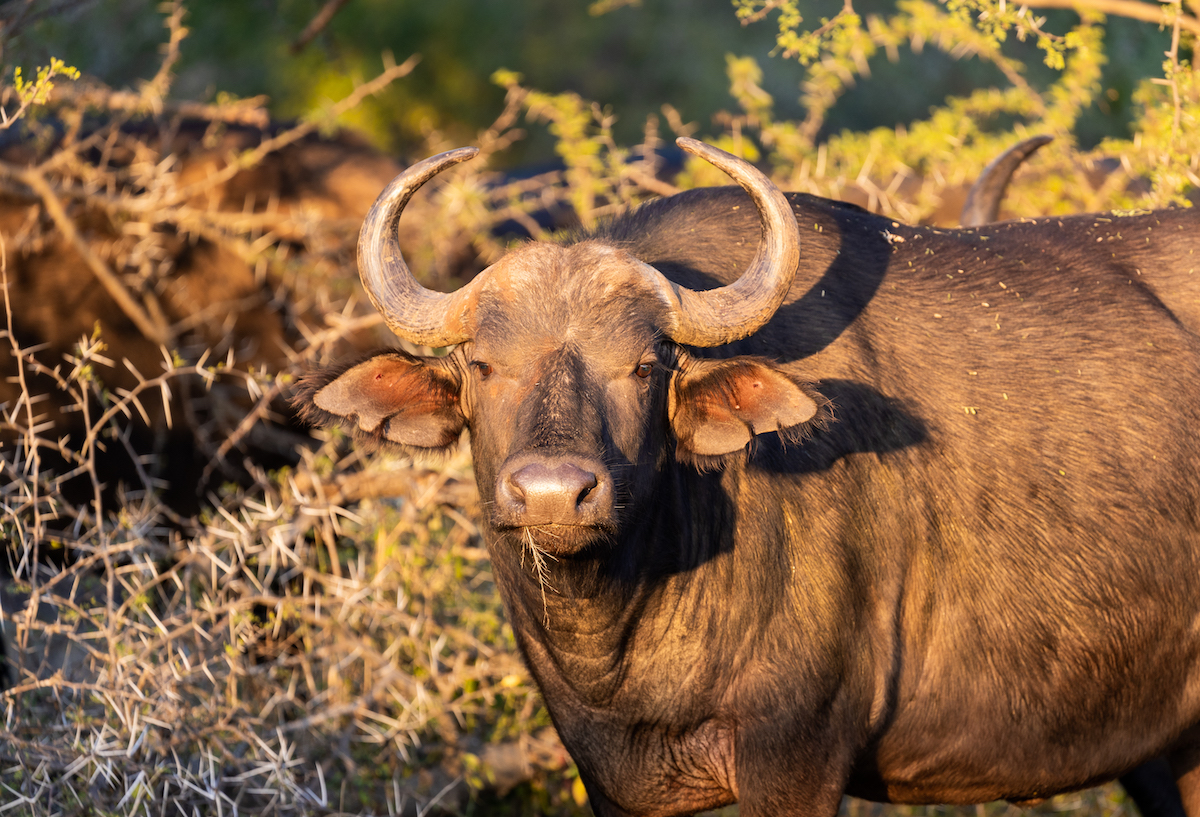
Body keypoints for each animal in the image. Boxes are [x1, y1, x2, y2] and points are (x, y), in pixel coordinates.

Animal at [294, 138, 1200, 817]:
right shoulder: (612, 778)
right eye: (482, 365)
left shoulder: (796, 754)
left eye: (645, 366)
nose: (554, 493)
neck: (630, 625)